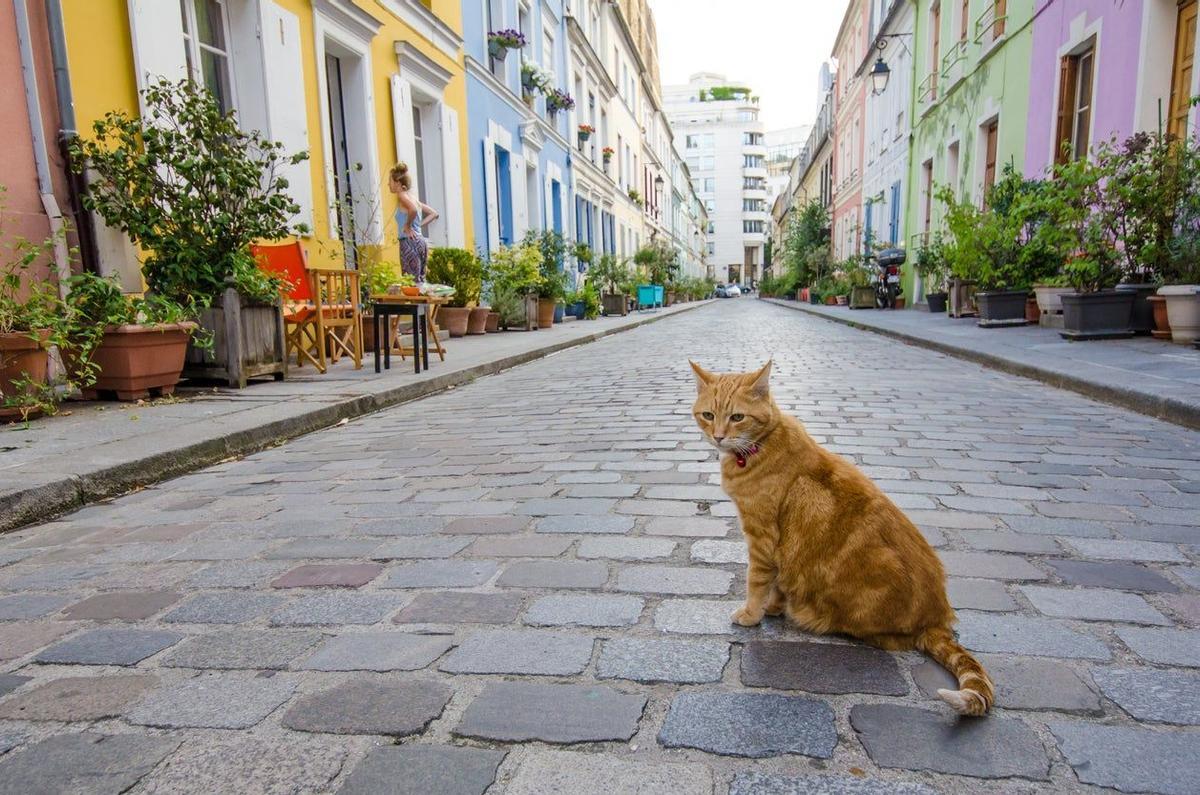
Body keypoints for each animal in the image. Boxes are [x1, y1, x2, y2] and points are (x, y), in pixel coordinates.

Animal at [696, 357, 993, 720]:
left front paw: (752, 615)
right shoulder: (778, 547)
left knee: (894, 639)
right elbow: (778, 582)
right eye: (708, 415)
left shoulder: (762, 536)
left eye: (737, 417)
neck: (761, 444)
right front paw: (774, 608)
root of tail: (938, 615)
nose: (719, 437)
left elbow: (758, 581)